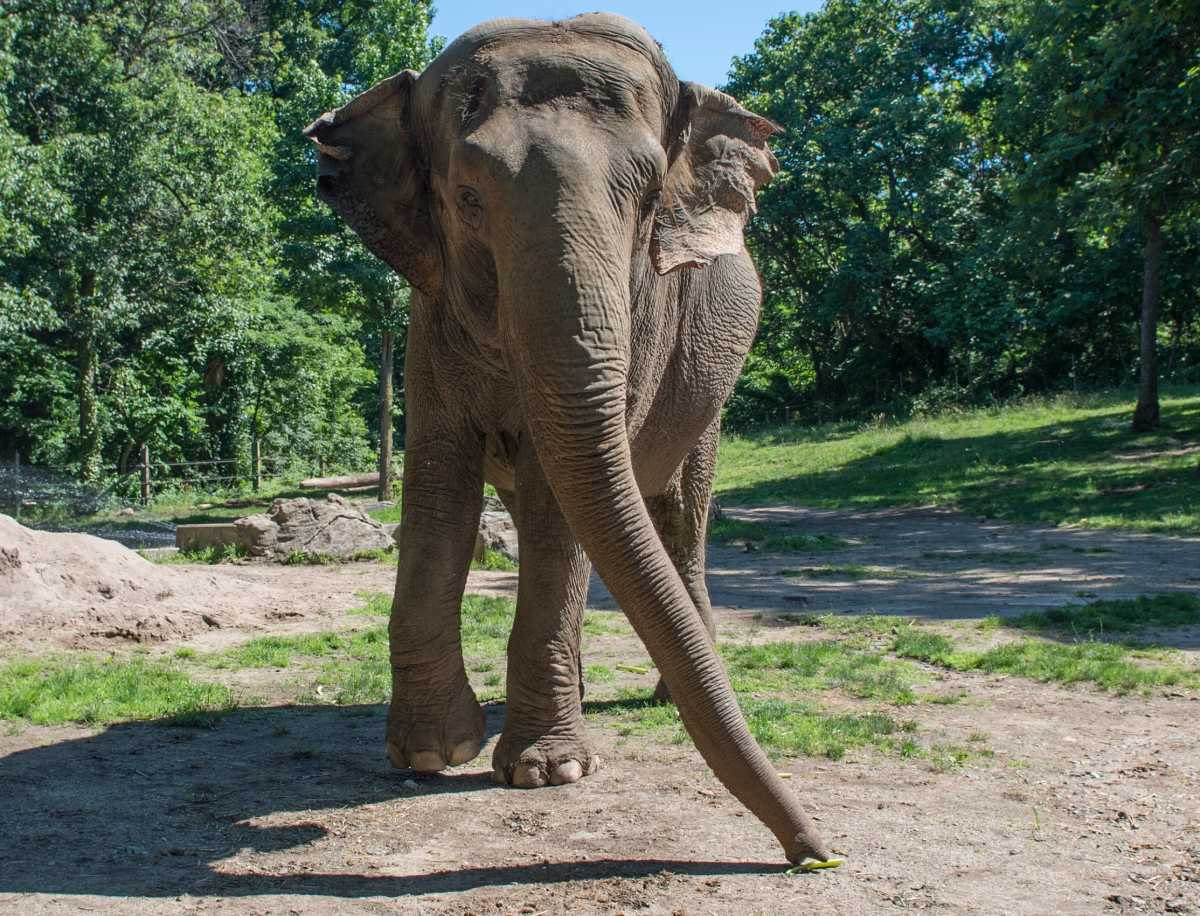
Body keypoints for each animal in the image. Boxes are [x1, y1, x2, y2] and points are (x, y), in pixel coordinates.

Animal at [305, 13, 831, 865]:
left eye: (648, 200)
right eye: (465, 198)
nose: (811, 851)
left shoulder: (648, 317)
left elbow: (561, 507)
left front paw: (548, 773)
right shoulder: (429, 315)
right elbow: (437, 492)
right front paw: (430, 753)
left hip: (709, 395)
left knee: (678, 514)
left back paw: (661, 694)